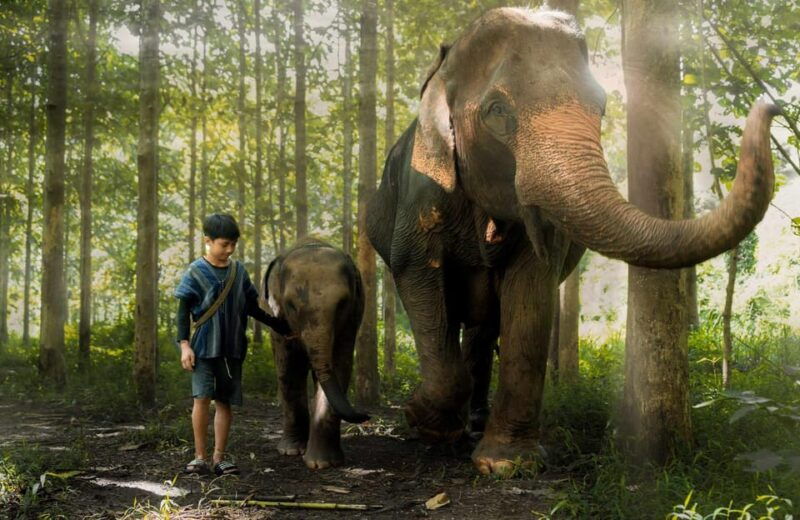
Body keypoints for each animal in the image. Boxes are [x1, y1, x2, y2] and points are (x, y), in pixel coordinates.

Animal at [264, 238, 369, 469]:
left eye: (342, 304)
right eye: (291, 306)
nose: (366, 414)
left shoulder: (352, 319)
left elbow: (339, 365)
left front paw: (322, 463)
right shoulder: (278, 319)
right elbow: (289, 368)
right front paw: (292, 452)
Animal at [365, 7, 777, 476]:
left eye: (601, 107)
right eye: (496, 111)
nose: (771, 104)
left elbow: (531, 293)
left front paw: (507, 464)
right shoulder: (420, 194)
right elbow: (416, 273)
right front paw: (421, 420)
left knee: (484, 328)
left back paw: (475, 422)